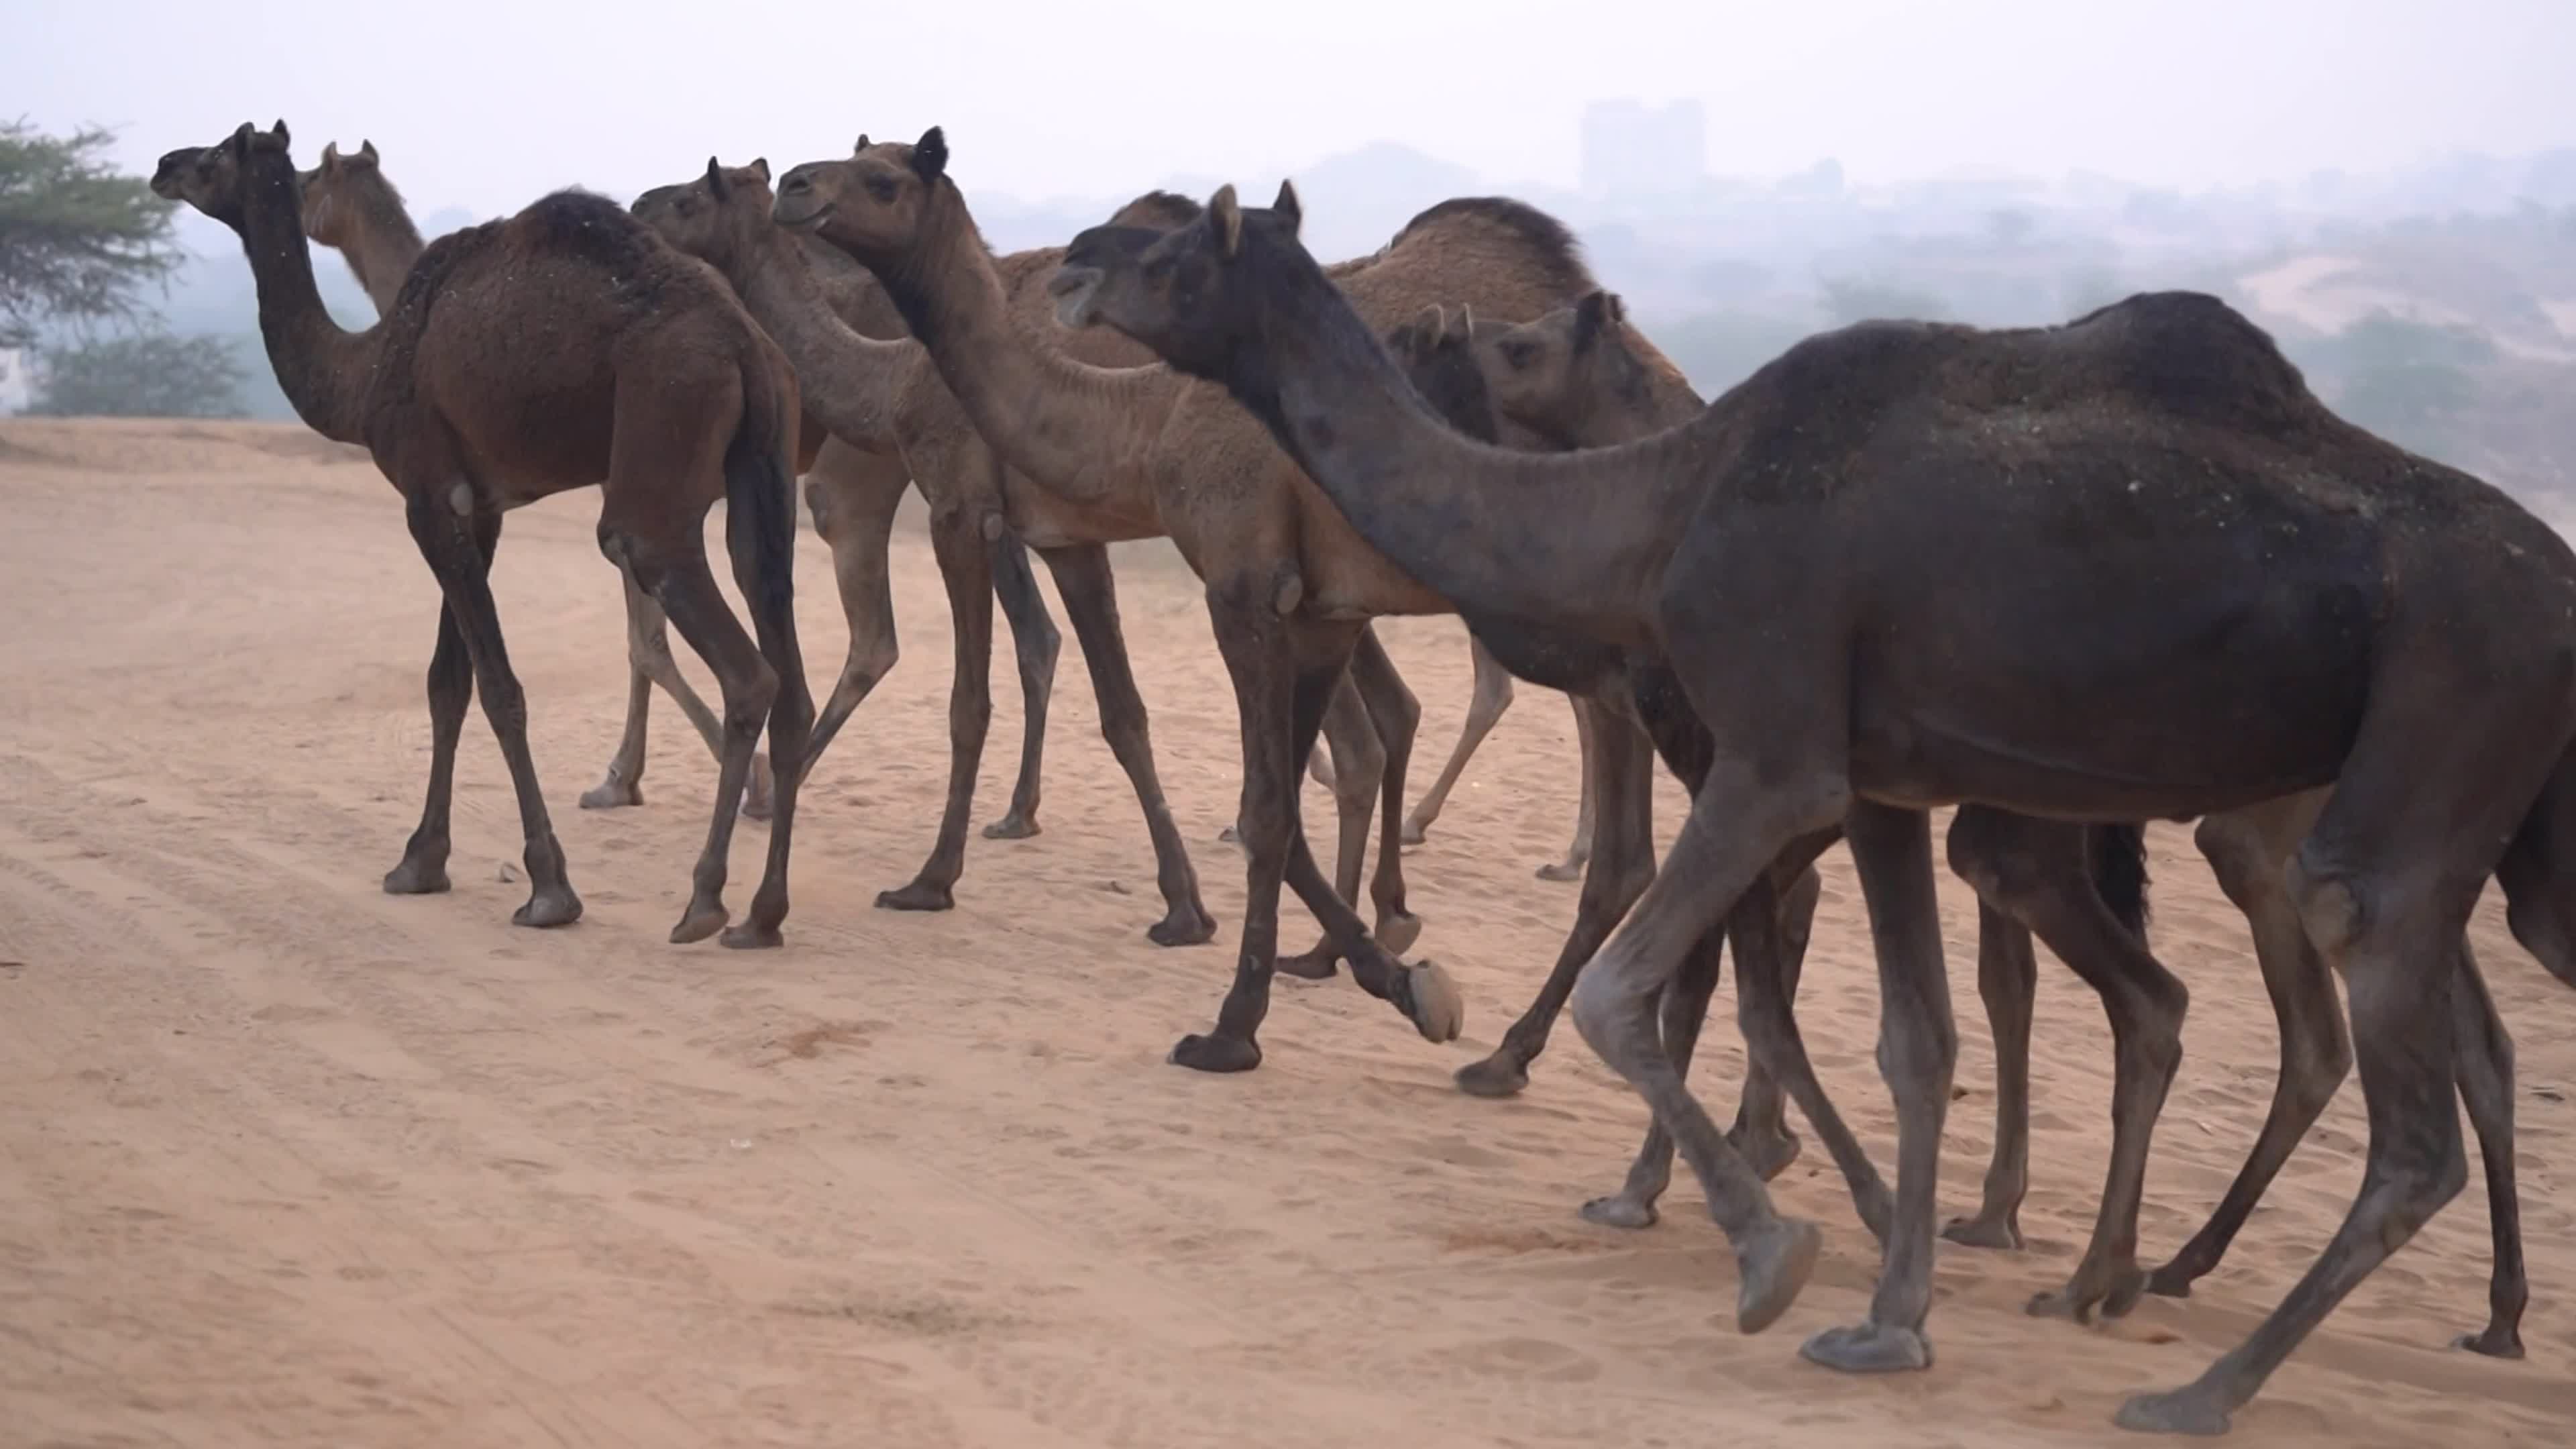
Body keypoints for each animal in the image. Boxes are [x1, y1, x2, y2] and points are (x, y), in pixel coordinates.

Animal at [154, 121, 813, 949]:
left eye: (217, 154)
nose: (162, 165)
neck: (367, 368)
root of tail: (745, 345)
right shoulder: (482, 509)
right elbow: (448, 683)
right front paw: (420, 861)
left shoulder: (429, 500)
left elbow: (497, 687)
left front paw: (549, 889)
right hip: (767, 477)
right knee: (784, 659)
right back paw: (763, 913)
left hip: (661, 454)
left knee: (735, 659)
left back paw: (704, 900)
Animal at [1432, 292, 2536, 1354]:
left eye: (1525, 348)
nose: (1457, 336)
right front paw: (1771, 1164)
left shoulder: (1746, 769)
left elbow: (1712, 971)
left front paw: (1658, 1178)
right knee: (2453, 1035)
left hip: (2257, 835)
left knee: (2287, 1024)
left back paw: (2143, 1267)